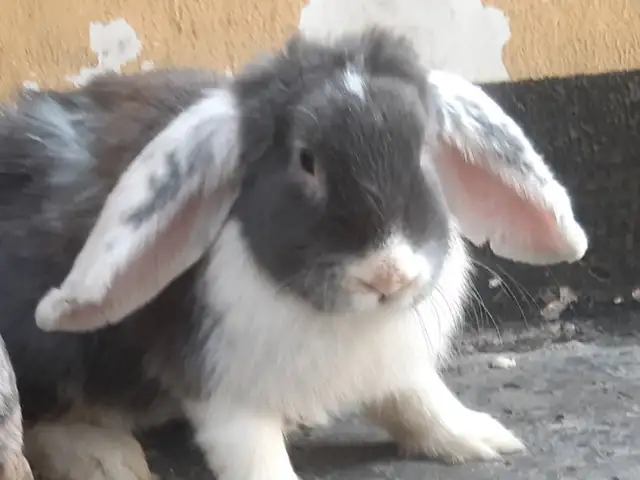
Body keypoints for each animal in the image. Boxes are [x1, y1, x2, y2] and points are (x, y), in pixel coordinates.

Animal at [0, 27, 587, 480]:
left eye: (423, 150)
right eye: (306, 161)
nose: (388, 276)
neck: (341, 318)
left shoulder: (398, 363)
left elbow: (420, 401)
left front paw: (478, 437)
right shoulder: (223, 390)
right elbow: (254, 455)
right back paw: (105, 460)